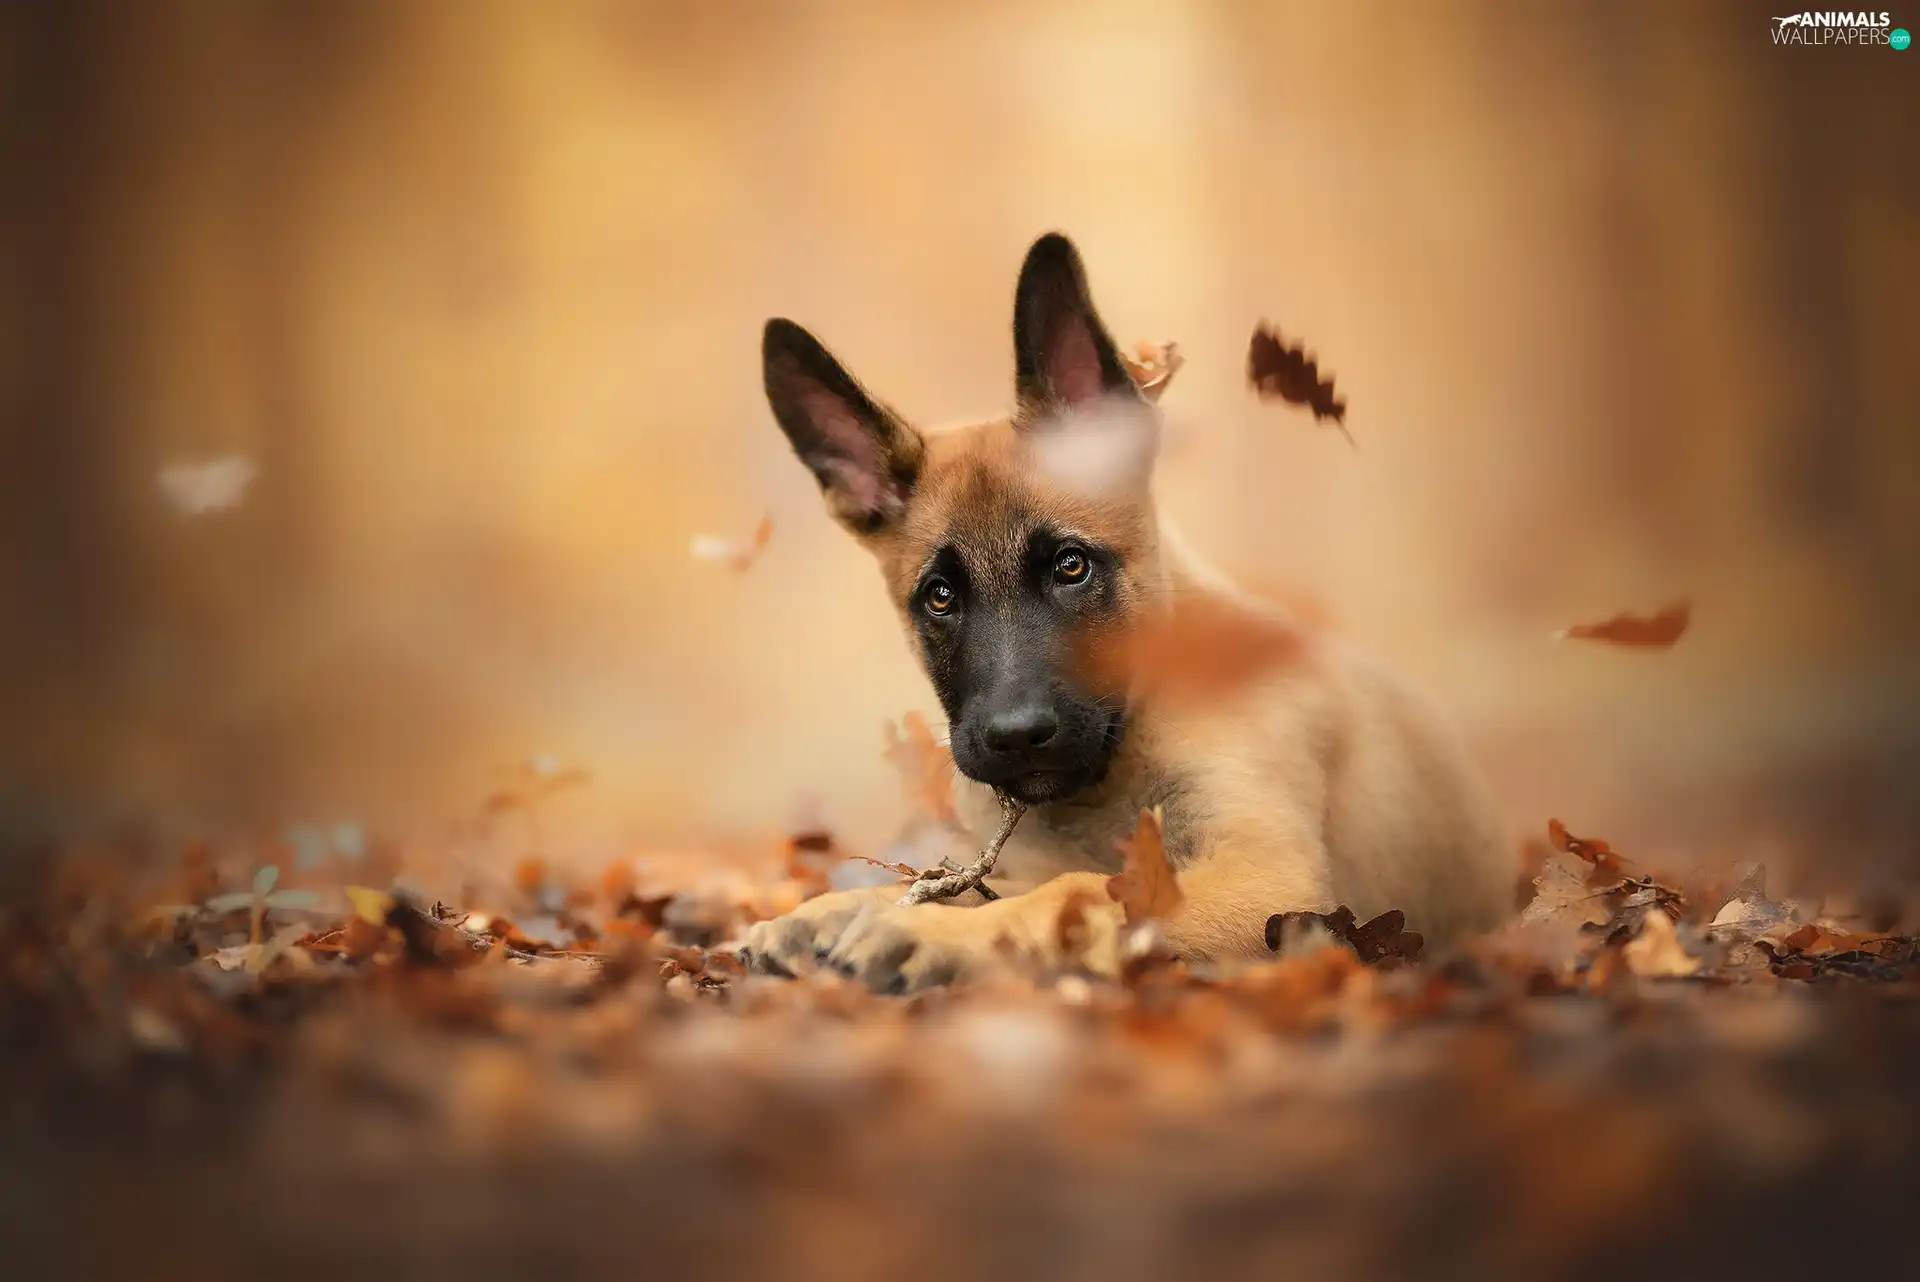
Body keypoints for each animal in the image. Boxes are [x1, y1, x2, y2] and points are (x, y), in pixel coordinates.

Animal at [741, 233, 1505, 990]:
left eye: (1071, 566)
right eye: (940, 596)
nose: (1016, 736)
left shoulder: (1269, 881)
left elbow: (1080, 891)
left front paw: (926, 931)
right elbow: (953, 881)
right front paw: (830, 911)